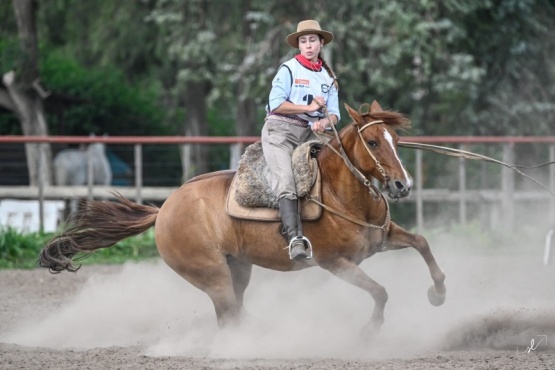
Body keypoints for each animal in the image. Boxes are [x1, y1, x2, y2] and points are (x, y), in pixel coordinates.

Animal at [39, 101, 448, 332]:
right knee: (228, 314)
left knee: (235, 311)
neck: (339, 192)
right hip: (212, 275)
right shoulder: (336, 263)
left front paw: (438, 292)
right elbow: (380, 292)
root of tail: (164, 209)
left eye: (397, 139)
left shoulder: (381, 240)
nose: (403, 184)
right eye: (374, 141)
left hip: (239, 268)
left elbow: (423, 243)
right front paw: (371, 329)